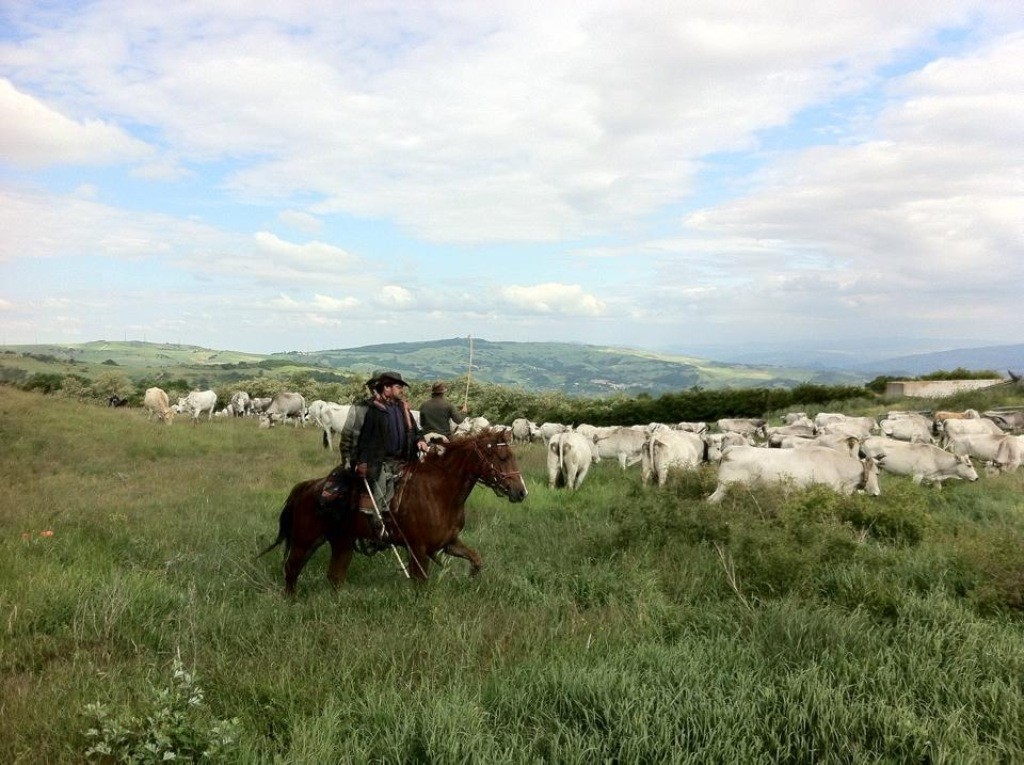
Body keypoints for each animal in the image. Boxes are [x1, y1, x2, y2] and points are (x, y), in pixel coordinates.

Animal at [258, 428, 528, 593]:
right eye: (502, 457)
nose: (521, 492)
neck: (440, 491)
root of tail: (307, 487)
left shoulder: (449, 543)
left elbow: (476, 560)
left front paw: (471, 579)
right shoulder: (417, 550)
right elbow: (420, 584)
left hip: (340, 542)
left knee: (334, 576)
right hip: (305, 540)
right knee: (292, 570)